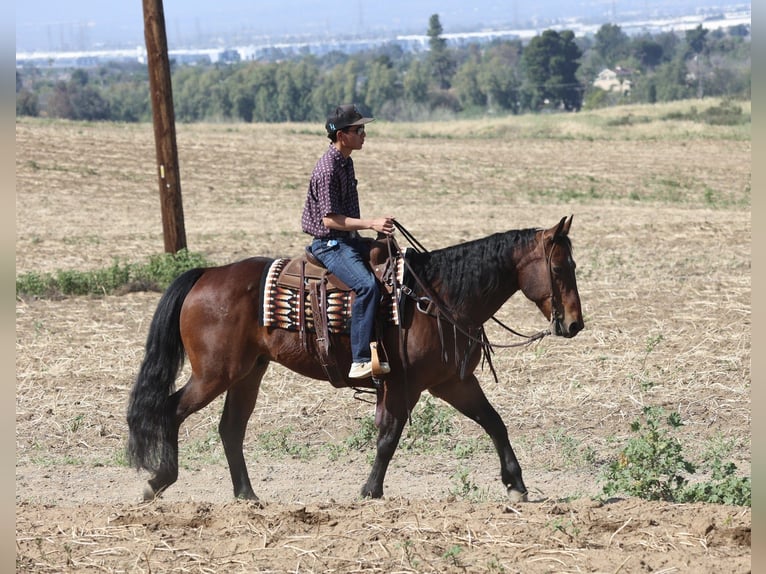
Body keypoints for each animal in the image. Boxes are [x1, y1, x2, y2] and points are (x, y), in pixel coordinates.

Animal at [127, 215, 584, 503]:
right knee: (171, 409)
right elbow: (388, 436)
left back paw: (246, 494)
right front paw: (370, 490)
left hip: (246, 373)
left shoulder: (452, 382)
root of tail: (205, 274)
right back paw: (159, 480)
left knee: (230, 429)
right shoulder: (404, 385)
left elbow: (494, 422)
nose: (575, 324)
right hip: (214, 374)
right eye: (562, 268)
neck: (437, 297)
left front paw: (516, 484)